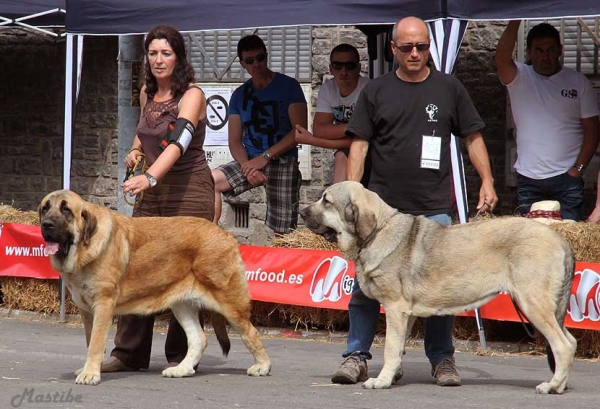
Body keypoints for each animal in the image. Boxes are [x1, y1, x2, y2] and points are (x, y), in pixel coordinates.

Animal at [38, 190, 270, 384]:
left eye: (66, 209)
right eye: (45, 208)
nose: (46, 224)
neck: (83, 249)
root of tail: (226, 234)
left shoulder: (103, 305)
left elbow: (96, 342)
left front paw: (90, 374)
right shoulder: (86, 310)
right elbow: (90, 341)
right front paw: (92, 369)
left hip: (230, 304)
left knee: (251, 333)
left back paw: (262, 366)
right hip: (182, 305)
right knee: (199, 339)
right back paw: (181, 369)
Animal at [302, 181, 580, 392]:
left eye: (326, 201)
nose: (303, 212)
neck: (378, 231)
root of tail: (561, 239)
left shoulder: (395, 309)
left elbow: (390, 348)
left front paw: (381, 381)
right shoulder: (407, 314)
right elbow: (399, 347)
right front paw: (392, 376)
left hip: (533, 305)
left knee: (563, 346)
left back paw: (551, 386)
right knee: (571, 341)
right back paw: (560, 385)